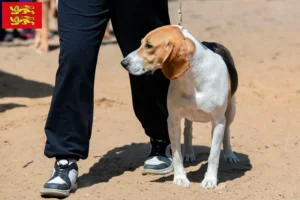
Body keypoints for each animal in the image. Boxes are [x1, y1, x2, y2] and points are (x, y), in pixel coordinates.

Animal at [120, 25, 240, 189]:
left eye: (149, 46)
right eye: (141, 43)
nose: (123, 63)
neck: (193, 79)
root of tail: (211, 43)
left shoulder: (218, 122)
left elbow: (213, 155)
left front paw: (210, 180)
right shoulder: (173, 120)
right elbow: (177, 154)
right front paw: (180, 178)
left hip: (231, 111)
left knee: (227, 131)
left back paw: (229, 154)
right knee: (188, 130)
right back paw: (189, 153)